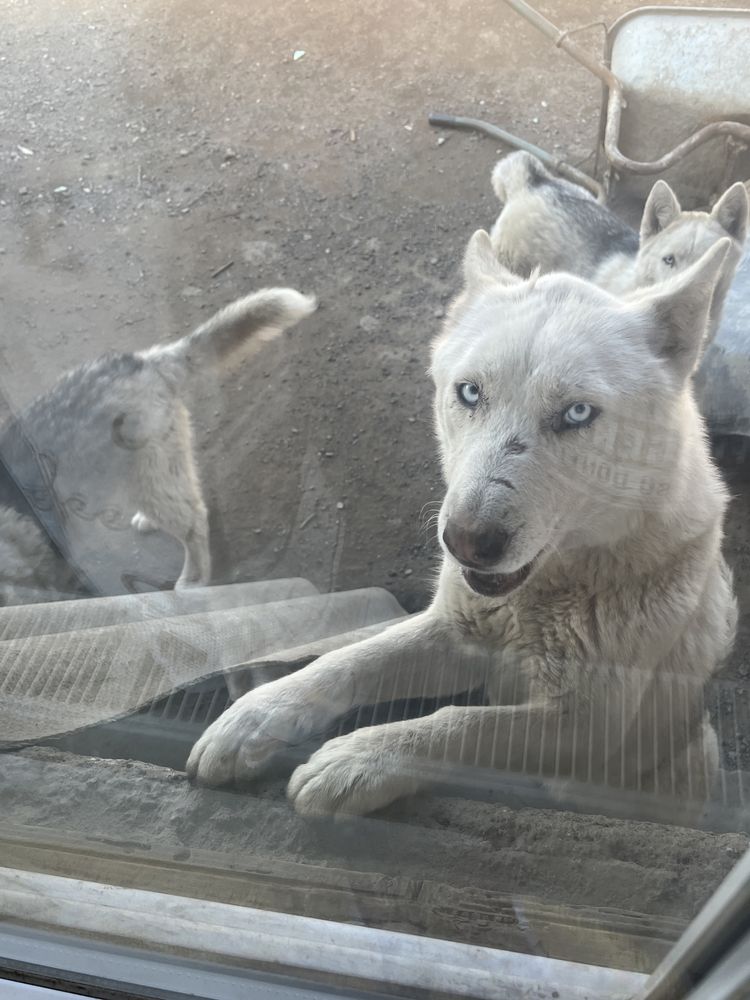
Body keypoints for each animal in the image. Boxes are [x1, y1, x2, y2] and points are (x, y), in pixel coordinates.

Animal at [189, 232, 740, 820]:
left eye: (577, 414)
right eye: (471, 393)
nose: (466, 543)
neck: (537, 603)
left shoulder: (591, 726)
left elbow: (462, 727)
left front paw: (358, 759)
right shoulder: (452, 632)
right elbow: (349, 660)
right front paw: (256, 715)